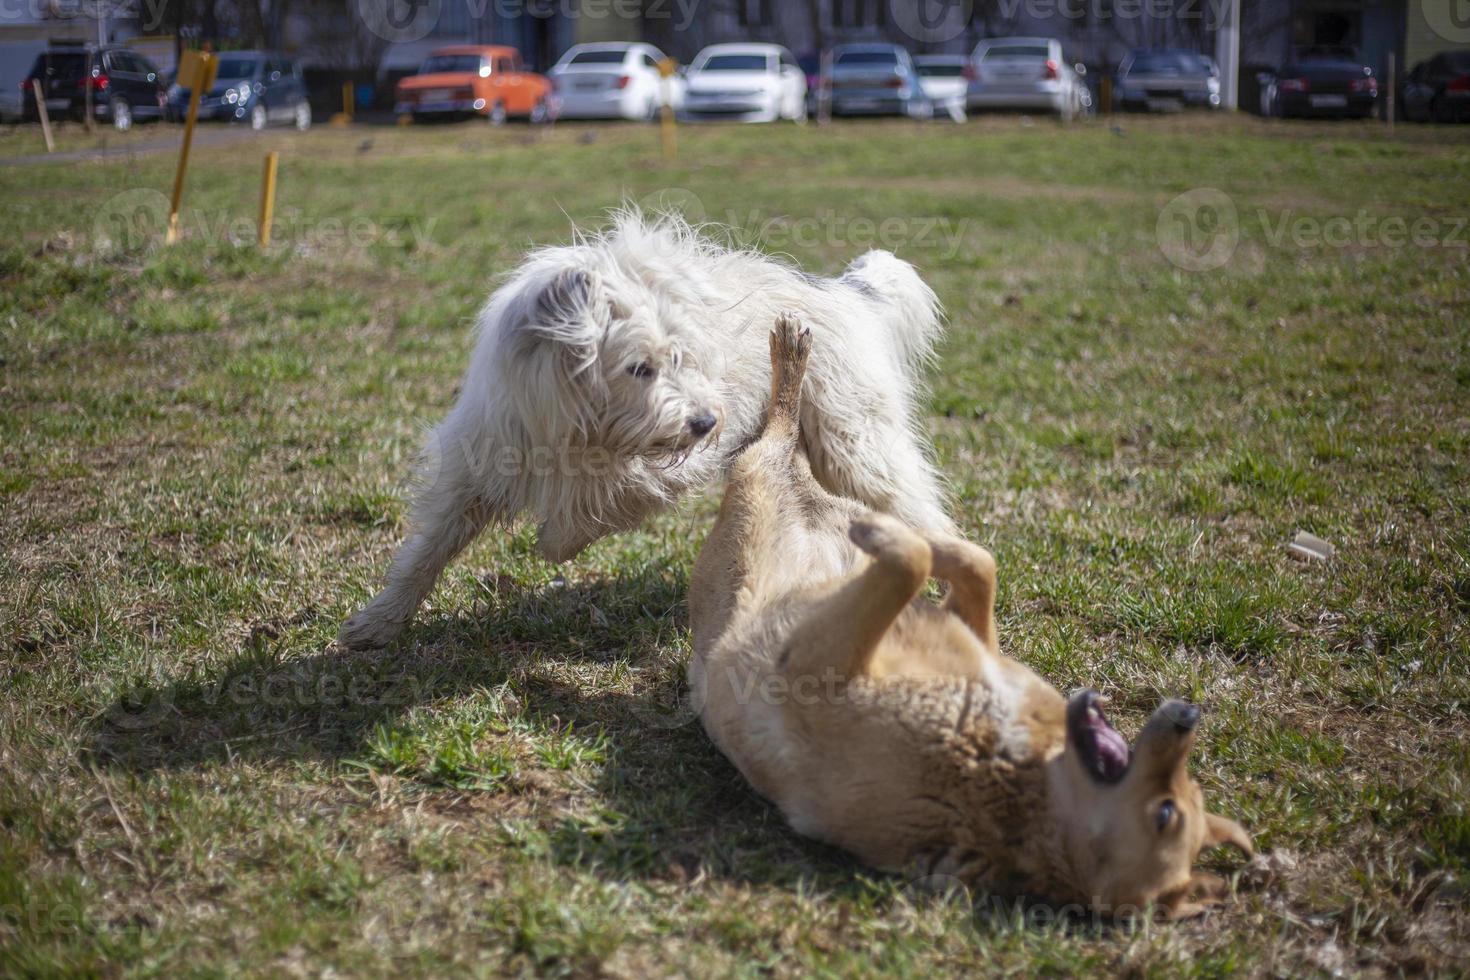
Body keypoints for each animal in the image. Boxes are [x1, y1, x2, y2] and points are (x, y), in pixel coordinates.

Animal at [336, 211, 952, 646]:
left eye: (683, 357)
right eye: (640, 367)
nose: (706, 422)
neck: (581, 429)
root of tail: (844, 291)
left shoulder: (663, 469)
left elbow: (598, 508)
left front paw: (555, 540)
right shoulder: (478, 462)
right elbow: (428, 549)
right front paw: (379, 622)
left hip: (854, 447)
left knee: (923, 514)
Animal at [687, 315, 1252, 922]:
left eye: (1167, 813)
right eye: (1184, 798)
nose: (1187, 714)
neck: (1013, 772)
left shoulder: (816, 666)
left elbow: (911, 562)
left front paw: (889, 538)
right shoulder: (971, 635)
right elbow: (979, 562)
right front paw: (931, 540)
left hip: (751, 494)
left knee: (777, 435)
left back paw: (794, 375)